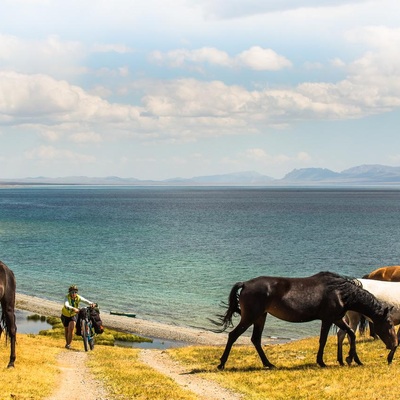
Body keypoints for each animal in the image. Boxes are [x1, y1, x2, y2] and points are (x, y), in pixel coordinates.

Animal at [212, 270, 396, 370]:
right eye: (390, 324)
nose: (394, 345)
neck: (340, 292)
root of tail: (246, 284)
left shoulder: (336, 318)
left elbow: (351, 334)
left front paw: (353, 359)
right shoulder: (328, 319)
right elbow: (323, 340)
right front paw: (322, 362)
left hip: (260, 317)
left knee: (255, 340)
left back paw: (268, 363)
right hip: (250, 317)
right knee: (233, 336)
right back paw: (222, 364)